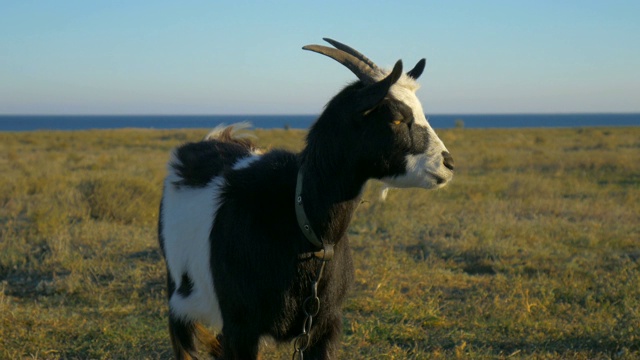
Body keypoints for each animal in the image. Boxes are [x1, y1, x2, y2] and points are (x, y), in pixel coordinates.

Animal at [159, 38, 456, 358]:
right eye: (398, 118)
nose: (448, 163)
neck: (302, 225)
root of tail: (215, 139)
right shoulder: (241, 326)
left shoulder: (325, 324)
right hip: (178, 293)